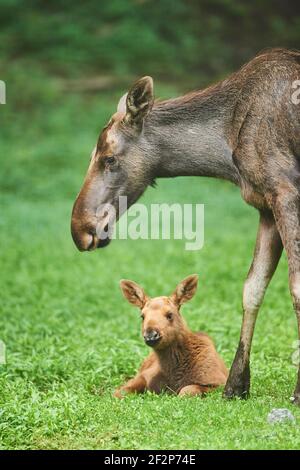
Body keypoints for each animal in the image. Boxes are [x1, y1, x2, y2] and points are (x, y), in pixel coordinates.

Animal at [72, 49, 300, 406]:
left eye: (109, 158)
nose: (79, 229)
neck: (225, 153)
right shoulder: (265, 205)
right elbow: (252, 288)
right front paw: (236, 385)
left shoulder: (286, 190)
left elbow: (295, 287)